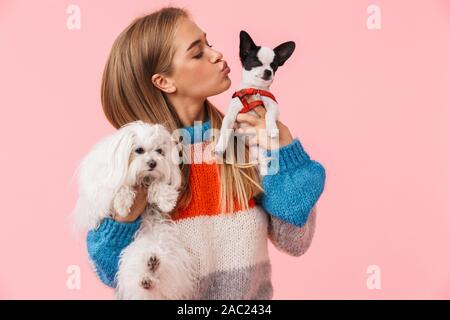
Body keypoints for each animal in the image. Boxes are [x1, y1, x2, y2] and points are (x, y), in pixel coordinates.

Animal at [72, 120, 195, 300]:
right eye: (139, 150)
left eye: (160, 151)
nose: (153, 163)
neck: (141, 178)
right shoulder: (101, 190)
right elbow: (120, 187)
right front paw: (123, 203)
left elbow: (157, 184)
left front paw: (165, 198)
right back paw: (147, 276)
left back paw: (151, 270)